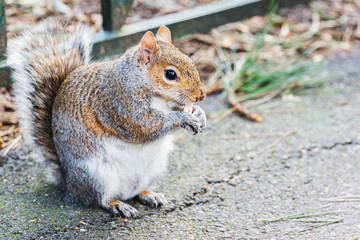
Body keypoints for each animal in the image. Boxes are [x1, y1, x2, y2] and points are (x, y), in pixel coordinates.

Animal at [7, 21, 205, 218]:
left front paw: (199, 114)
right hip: (95, 175)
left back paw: (149, 194)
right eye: (170, 74)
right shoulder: (122, 105)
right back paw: (118, 205)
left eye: (191, 61)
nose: (200, 96)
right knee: (98, 199)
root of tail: (69, 183)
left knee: (135, 191)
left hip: (153, 168)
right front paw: (184, 118)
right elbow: (145, 126)